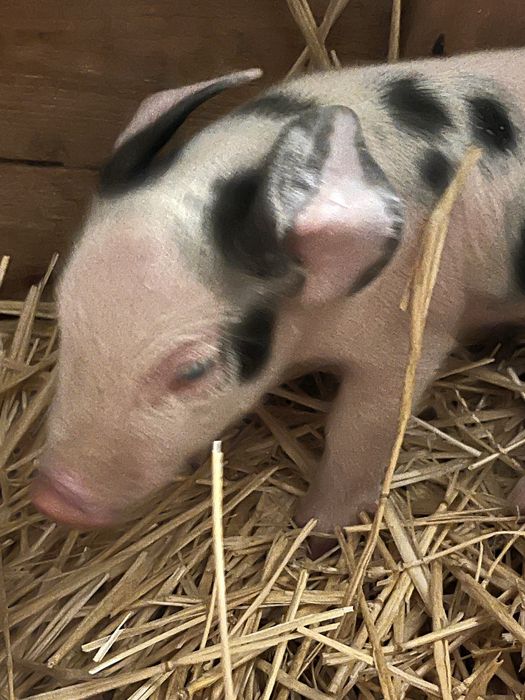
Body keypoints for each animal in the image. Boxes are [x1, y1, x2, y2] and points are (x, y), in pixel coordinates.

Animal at [31, 49, 525, 536]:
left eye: (193, 370)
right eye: (65, 326)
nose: (52, 500)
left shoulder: (415, 329)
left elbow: (362, 430)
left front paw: (314, 531)